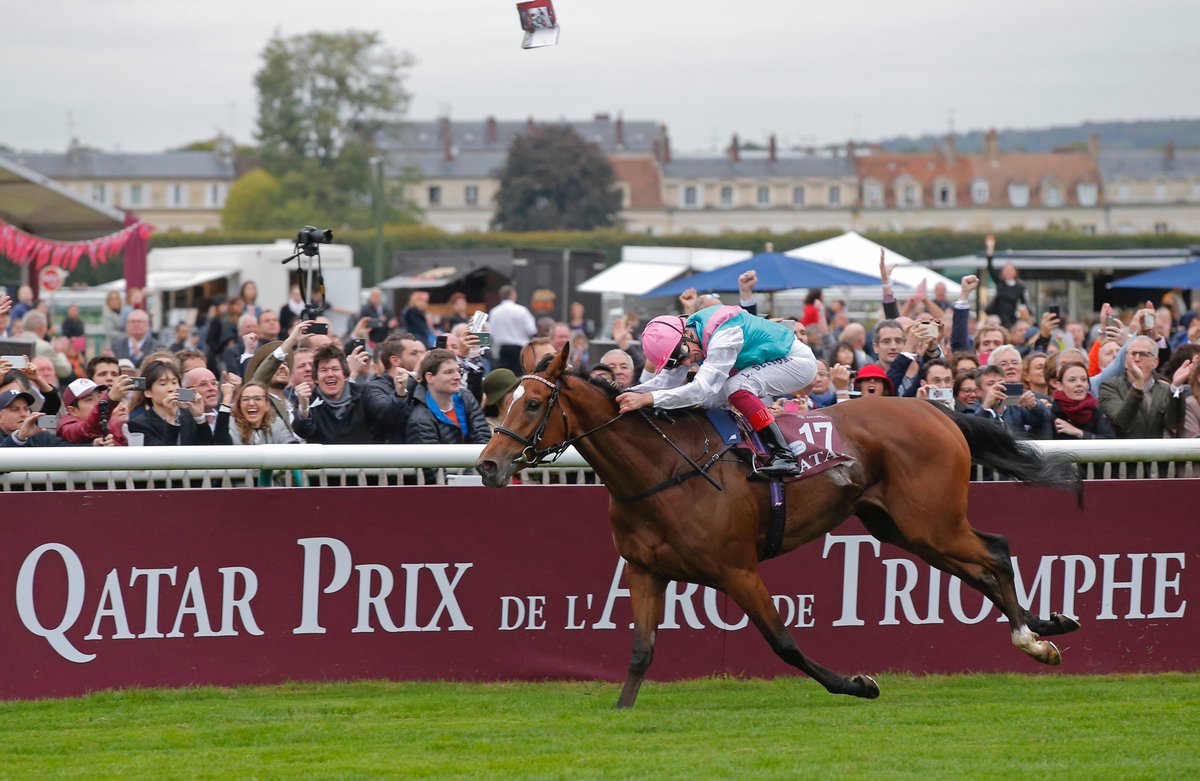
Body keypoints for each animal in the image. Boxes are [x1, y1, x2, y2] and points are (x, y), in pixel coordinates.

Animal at [472, 347, 1084, 710]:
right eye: (500, 402)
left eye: (533, 403)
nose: (488, 466)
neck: (662, 471)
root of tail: (936, 409)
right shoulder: (645, 570)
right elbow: (641, 652)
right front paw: (621, 715)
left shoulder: (736, 570)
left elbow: (784, 643)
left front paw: (858, 684)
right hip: (903, 528)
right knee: (982, 565)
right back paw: (1043, 630)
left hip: (931, 521)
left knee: (995, 552)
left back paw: (1033, 637)